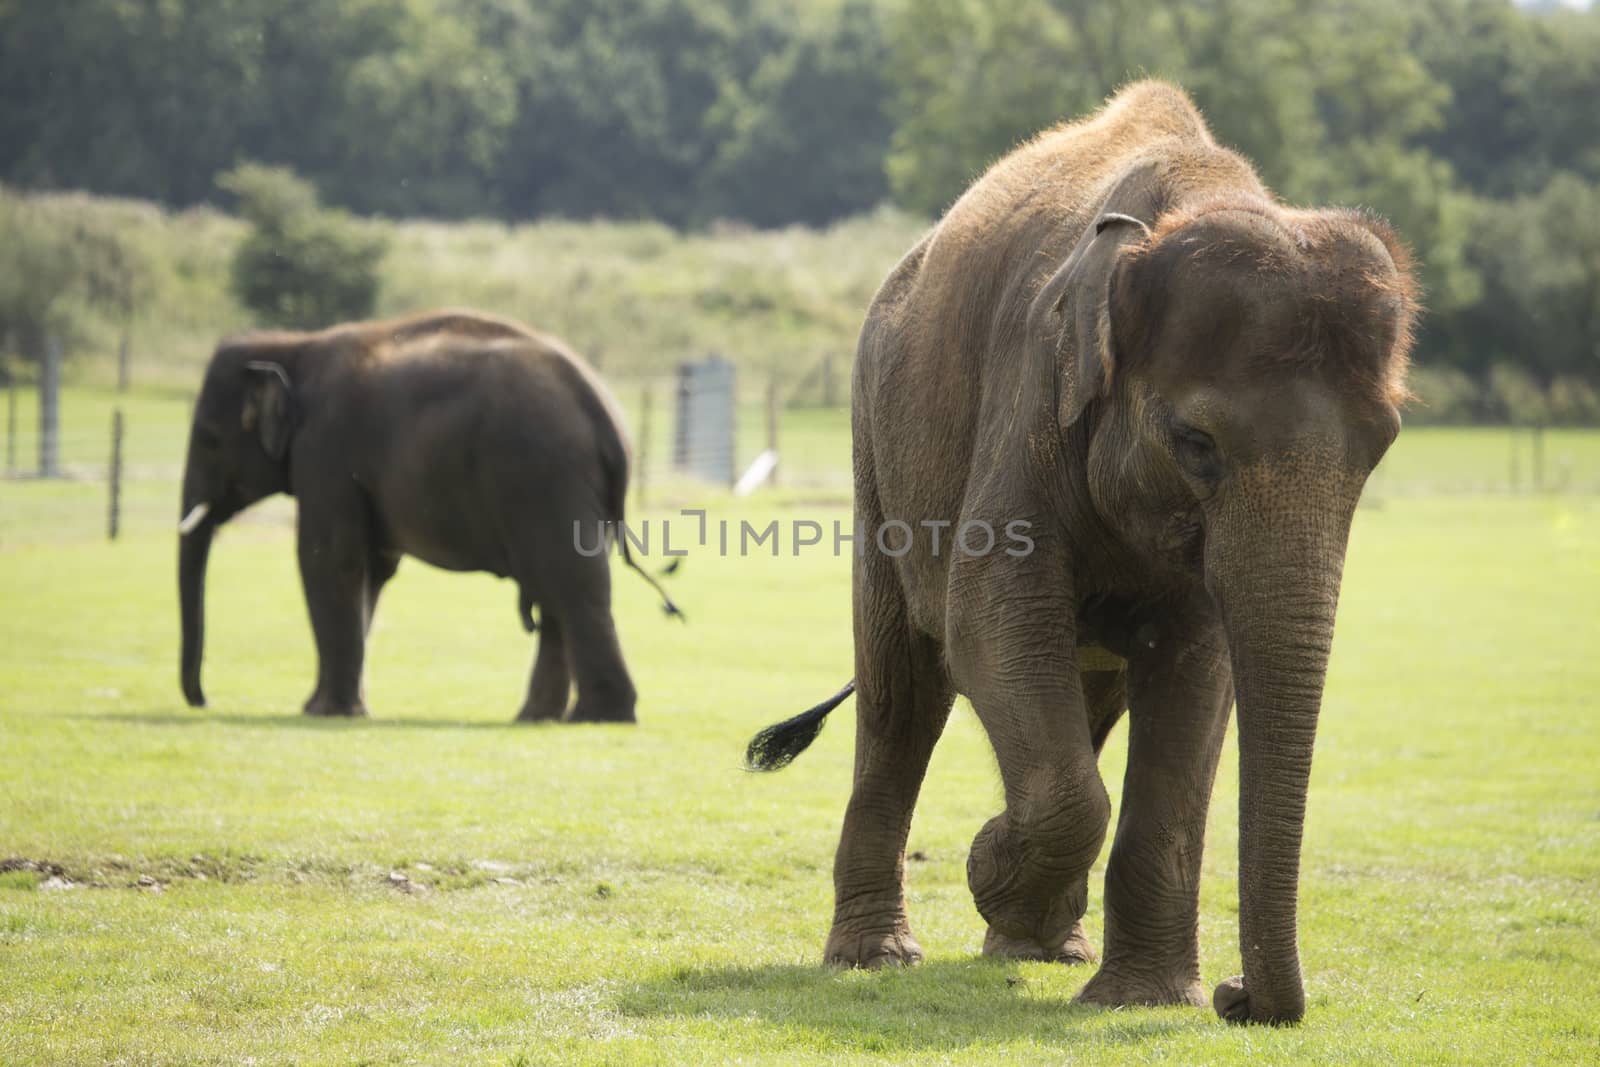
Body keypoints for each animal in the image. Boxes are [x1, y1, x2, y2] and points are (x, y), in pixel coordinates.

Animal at [178, 308, 678, 726]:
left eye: (208, 437)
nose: (204, 700)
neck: (295, 345)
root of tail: (604, 413)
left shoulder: (325, 449)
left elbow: (328, 558)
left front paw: (324, 712)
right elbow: (374, 569)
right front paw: (337, 707)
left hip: (543, 474)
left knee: (571, 584)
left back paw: (598, 718)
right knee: (561, 590)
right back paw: (541, 718)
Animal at [742, 79, 1420, 1023]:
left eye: (1383, 446)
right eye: (1195, 442)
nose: (1238, 994)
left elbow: (1198, 666)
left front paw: (1141, 999)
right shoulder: (1032, 391)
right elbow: (988, 617)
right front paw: (988, 862)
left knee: (1087, 698)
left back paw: (1044, 946)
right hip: (875, 446)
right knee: (902, 686)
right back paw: (880, 956)